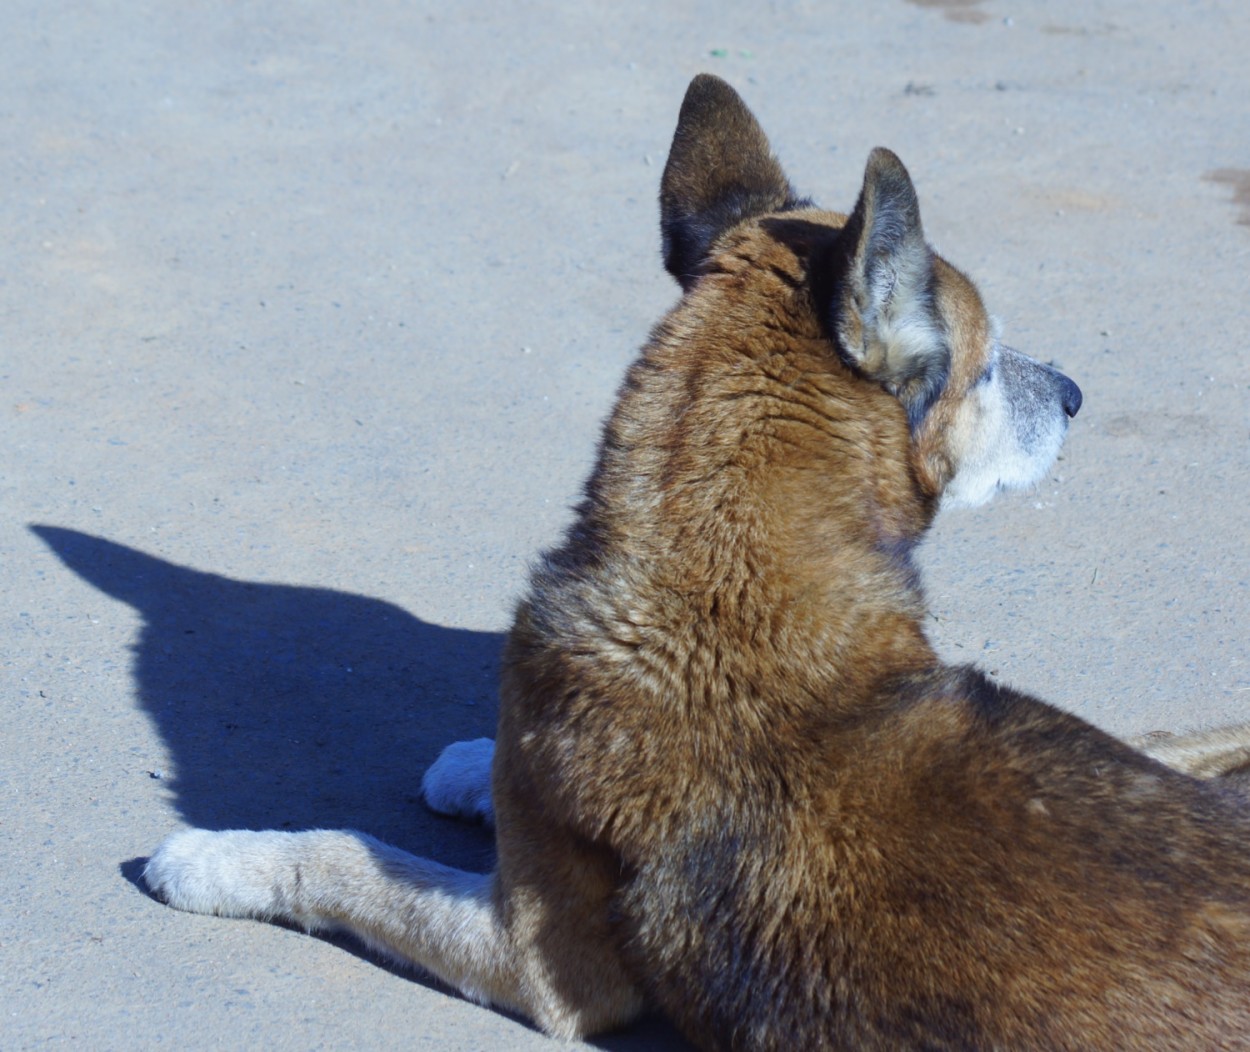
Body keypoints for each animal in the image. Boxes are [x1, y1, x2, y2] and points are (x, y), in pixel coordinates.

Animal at [141, 75, 1250, 1049]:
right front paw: (471, 764)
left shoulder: (538, 963)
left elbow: (343, 851)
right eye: (984, 369)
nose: (1073, 394)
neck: (721, 573)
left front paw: (218, 856)